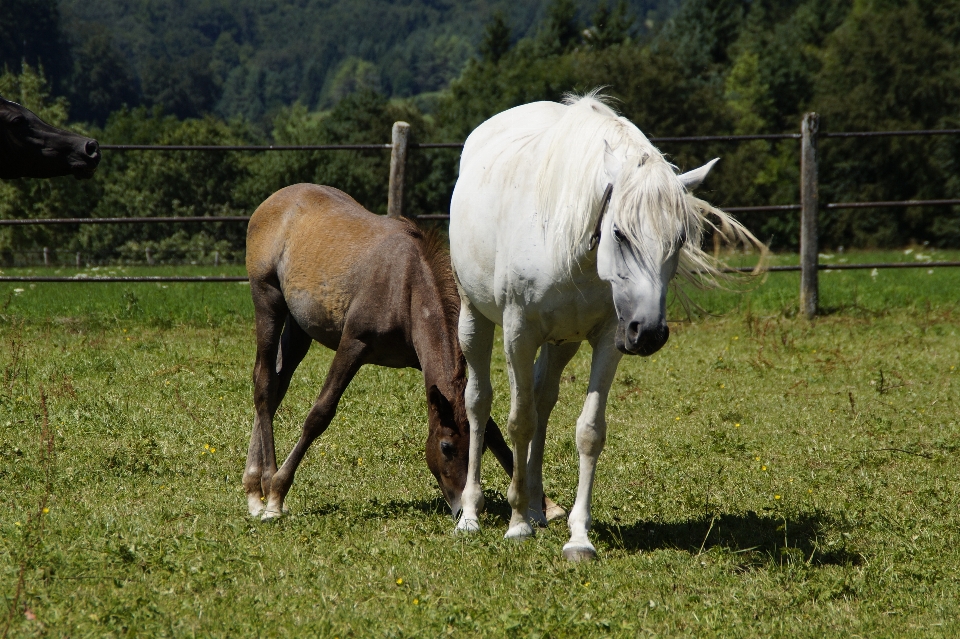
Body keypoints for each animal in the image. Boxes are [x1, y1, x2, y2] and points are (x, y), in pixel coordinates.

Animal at [448, 94, 756, 560]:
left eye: (679, 239)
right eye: (620, 233)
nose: (648, 333)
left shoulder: (608, 340)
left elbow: (588, 431)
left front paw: (578, 536)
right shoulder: (518, 333)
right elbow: (519, 421)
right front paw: (517, 524)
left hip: (562, 342)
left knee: (542, 400)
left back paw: (537, 509)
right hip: (475, 319)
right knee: (479, 403)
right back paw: (471, 514)